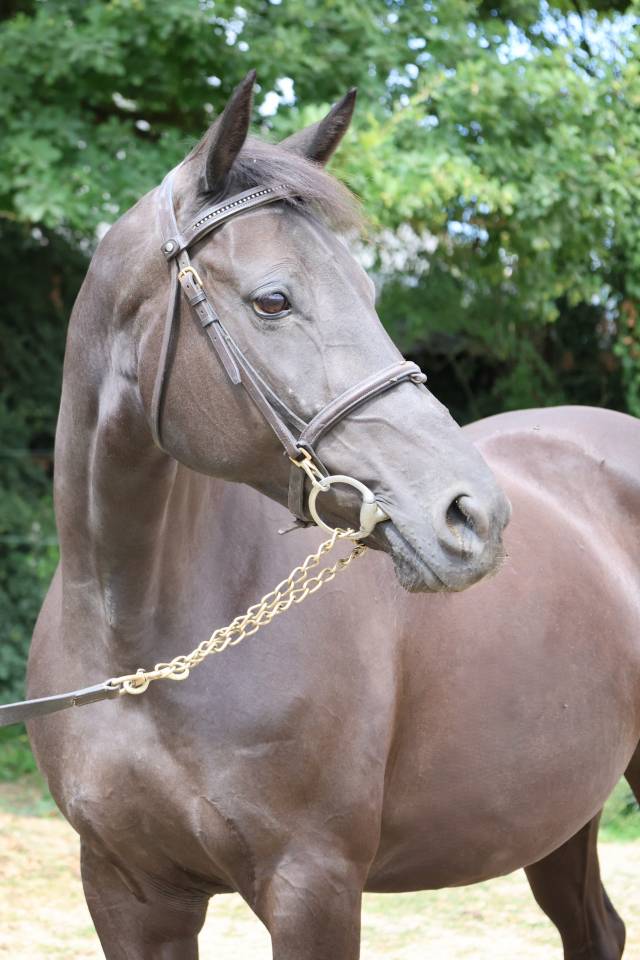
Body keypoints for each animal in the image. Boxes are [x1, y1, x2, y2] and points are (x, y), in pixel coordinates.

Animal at [27, 72, 640, 959]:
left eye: (369, 292)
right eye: (273, 300)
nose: (474, 515)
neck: (139, 645)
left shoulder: (312, 884)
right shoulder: (126, 891)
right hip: (557, 813)